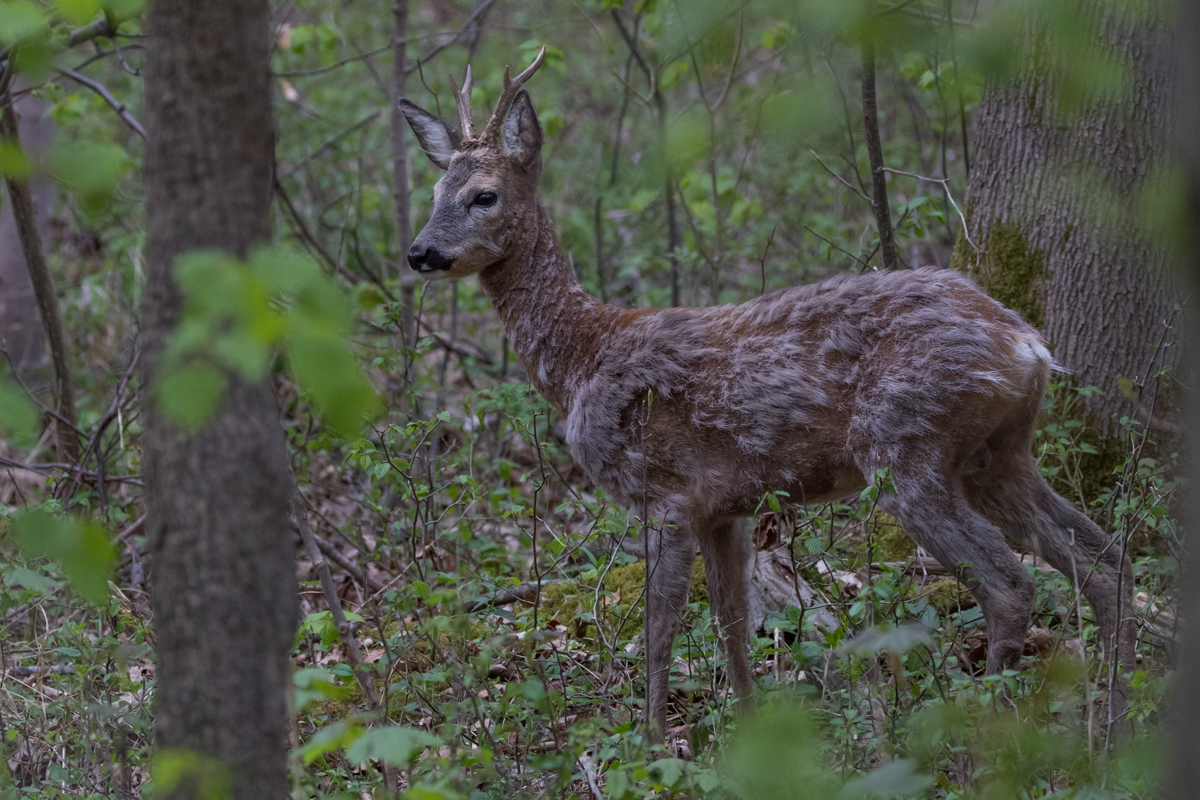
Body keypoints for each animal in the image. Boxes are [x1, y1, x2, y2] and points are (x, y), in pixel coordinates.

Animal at [400, 48, 1132, 738]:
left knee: (1011, 584)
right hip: (996, 455)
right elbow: (732, 626)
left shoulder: (662, 494)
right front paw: (746, 738)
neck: (583, 361)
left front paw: (650, 740)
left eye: (484, 195)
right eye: (435, 189)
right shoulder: (721, 508)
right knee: (1105, 562)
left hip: (907, 449)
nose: (419, 253)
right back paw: (1113, 727)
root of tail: (1028, 345)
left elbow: (661, 632)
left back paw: (996, 730)